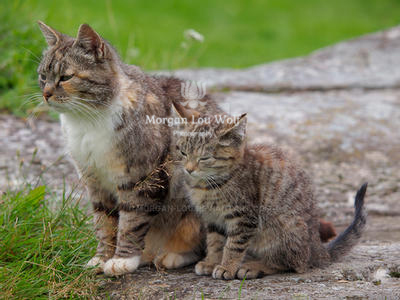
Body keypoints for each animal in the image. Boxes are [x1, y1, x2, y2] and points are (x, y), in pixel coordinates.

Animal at [36, 21, 222, 276]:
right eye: (43, 76)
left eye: (65, 77)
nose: (45, 94)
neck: (87, 122)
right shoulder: (94, 180)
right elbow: (104, 222)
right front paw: (102, 257)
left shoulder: (142, 177)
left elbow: (131, 221)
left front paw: (123, 259)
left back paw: (171, 256)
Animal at [173, 103, 368, 282]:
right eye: (183, 152)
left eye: (204, 158)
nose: (188, 169)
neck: (207, 185)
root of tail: (317, 248)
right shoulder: (213, 219)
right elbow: (215, 241)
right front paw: (212, 261)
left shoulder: (244, 216)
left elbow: (234, 244)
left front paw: (227, 266)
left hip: (282, 226)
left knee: (292, 263)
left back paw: (254, 266)